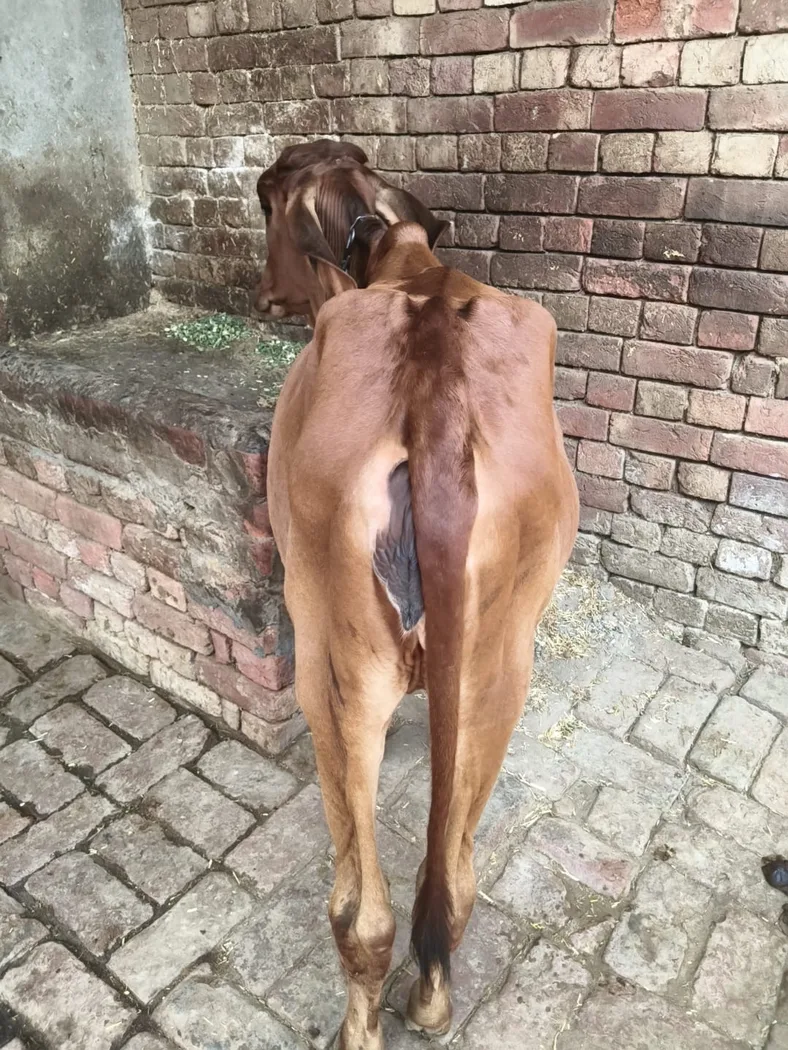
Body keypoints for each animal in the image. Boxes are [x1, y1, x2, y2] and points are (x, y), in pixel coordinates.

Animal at [255, 140, 579, 1050]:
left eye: (266, 207)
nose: (262, 294)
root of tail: (438, 394)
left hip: (336, 669)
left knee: (362, 914)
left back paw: (361, 1025)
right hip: (500, 668)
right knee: (454, 882)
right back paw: (432, 1001)